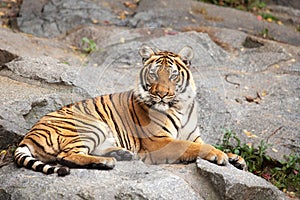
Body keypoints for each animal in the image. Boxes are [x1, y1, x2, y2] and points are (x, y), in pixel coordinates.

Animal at [13, 45, 246, 175]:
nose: (161, 94)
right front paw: (219, 155)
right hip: (91, 125)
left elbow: (200, 143)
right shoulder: (159, 142)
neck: (180, 105)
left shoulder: (193, 136)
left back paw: (121, 153)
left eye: (172, 75)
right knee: (66, 155)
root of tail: (29, 135)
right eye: (154, 74)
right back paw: (107, 162)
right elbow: (193, 146)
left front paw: (236, 158)